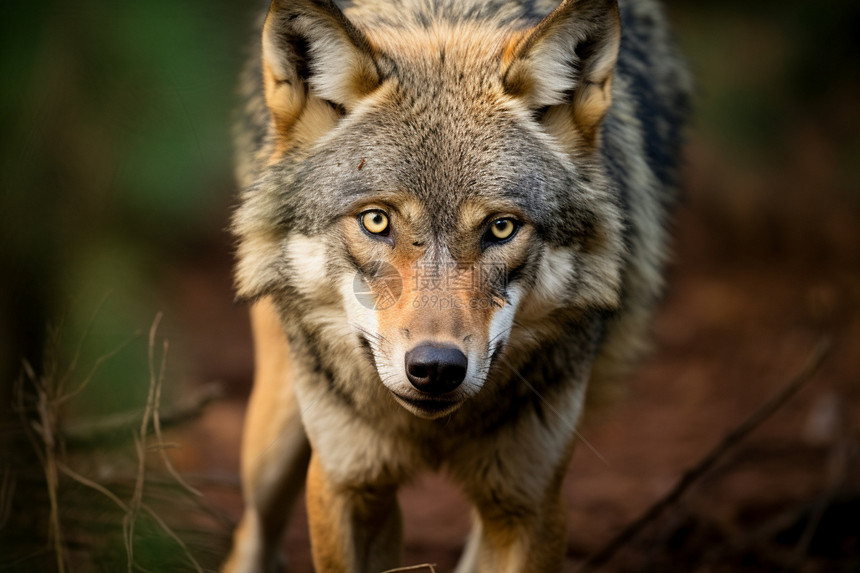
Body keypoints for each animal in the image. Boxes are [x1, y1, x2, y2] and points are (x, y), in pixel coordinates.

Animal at [223, 0, 692, 568]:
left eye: (501, 227)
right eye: (376, 221)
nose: (436, 368)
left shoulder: (530, 501)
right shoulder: (346, 485)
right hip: (275, 440)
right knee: (254, 530)